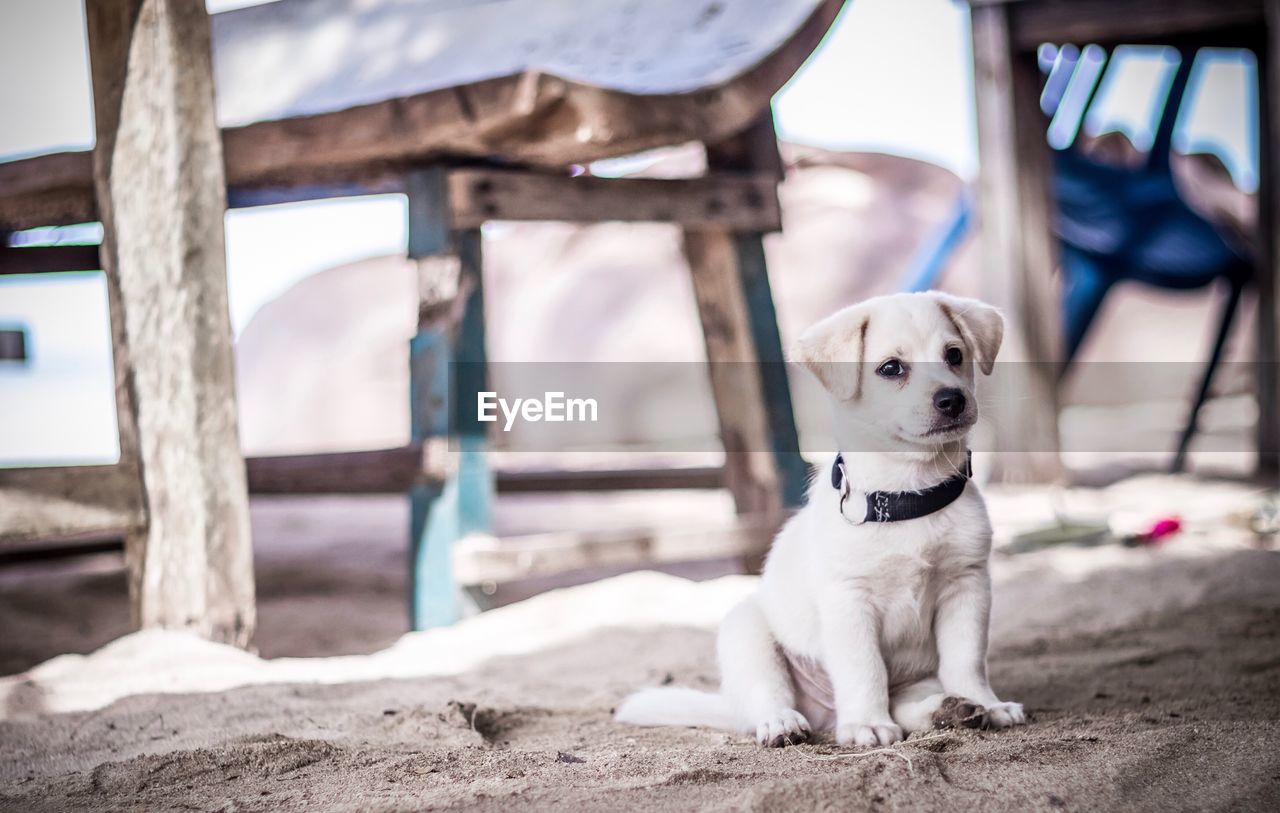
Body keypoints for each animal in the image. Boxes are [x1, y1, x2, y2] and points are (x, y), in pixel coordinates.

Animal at [614, 293, 1024, 752]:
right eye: (891, 368)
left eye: (954, 355)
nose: (952, 400)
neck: (908, 495)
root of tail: (822, 713)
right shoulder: (850, 601)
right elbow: (865, 669)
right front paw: (867, 724)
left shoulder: (966, 586)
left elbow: (966, 660)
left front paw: (986, 702)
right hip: (747, 633)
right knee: (767, 697)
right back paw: (783, 723)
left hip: (915, 677)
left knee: (906, 702)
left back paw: (950, 709)